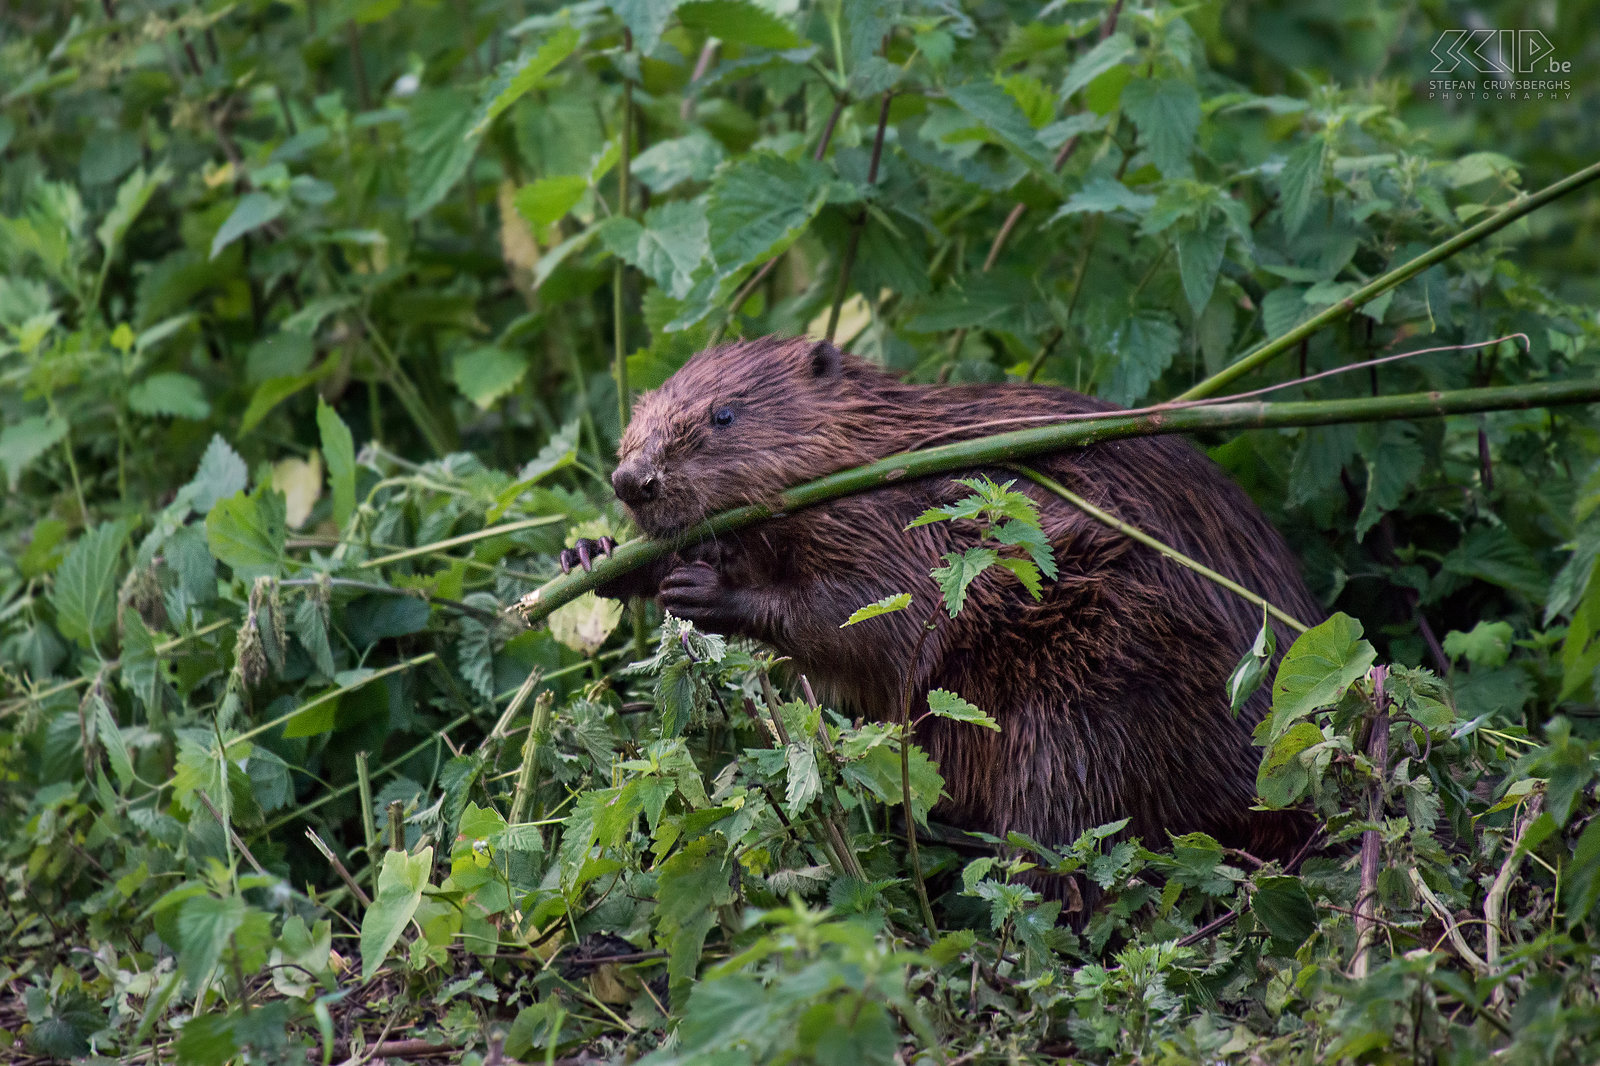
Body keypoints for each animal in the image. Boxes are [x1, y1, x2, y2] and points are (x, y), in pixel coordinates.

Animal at [563, 336, 1324, 883]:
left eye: (723, 414)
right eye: (639, 413)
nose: (632, 479)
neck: (887, 448)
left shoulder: (909, 518)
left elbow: (871, 621)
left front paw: (705, 591)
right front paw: (591, 554)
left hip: (1089, 705)